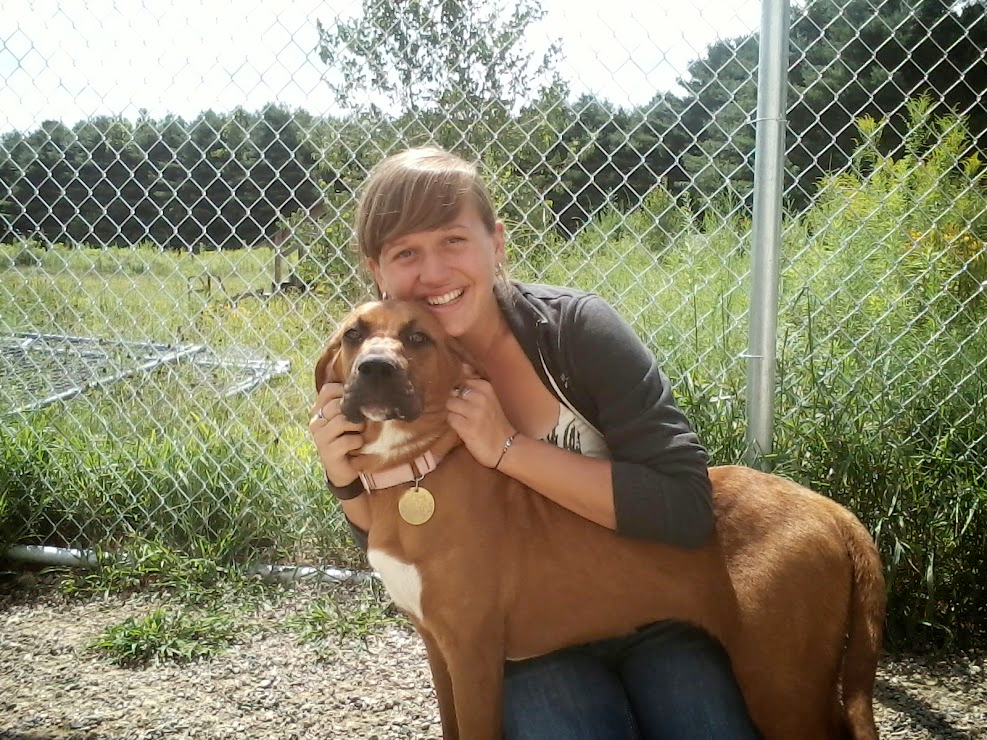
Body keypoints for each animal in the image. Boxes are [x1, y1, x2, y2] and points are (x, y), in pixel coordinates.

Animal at [318, 300, 888, 740]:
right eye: (354, 334)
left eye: (419, 337)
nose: (375, 368)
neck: (415, 473)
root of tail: (832, 510)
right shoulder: (438, 646)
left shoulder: (472, 654)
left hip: (778, 681)